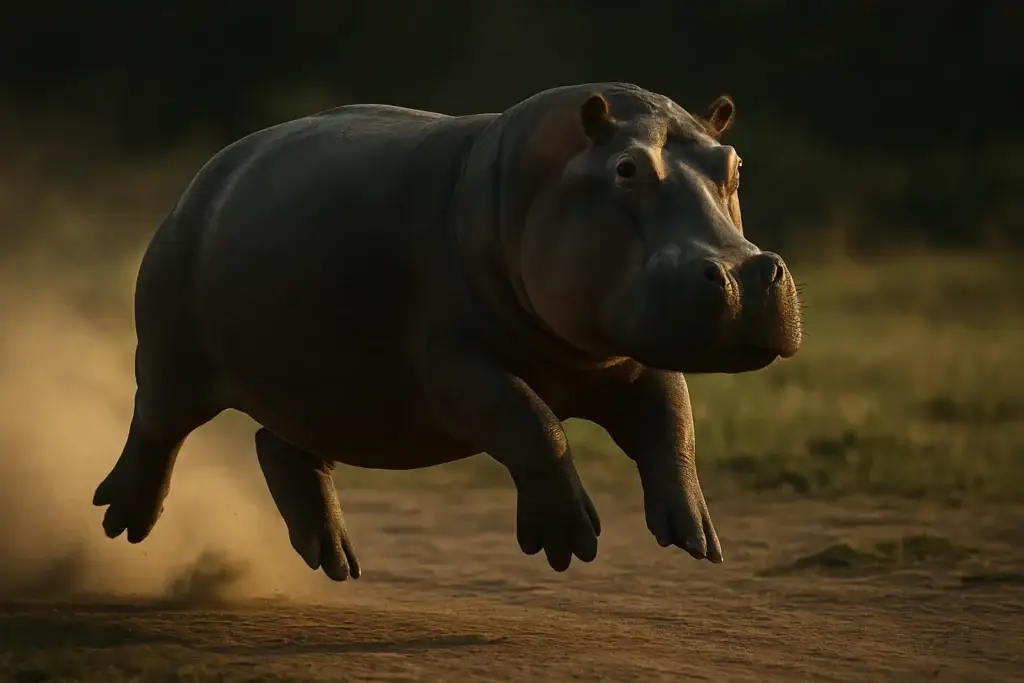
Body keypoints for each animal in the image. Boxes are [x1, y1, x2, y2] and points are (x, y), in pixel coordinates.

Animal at [92, 82, 802, 581]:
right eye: (627, 168)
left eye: (733, 165)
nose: (746, 275)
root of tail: (209, 171)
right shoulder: (454, 364)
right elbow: (532, 424)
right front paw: (568, 542)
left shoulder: (624, 354)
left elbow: (671, 420)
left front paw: (696, 536)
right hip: (174, 349)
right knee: (156, 426)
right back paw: (122, 520)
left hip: (320, 388)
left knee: (281, 445)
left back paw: (334, 559)